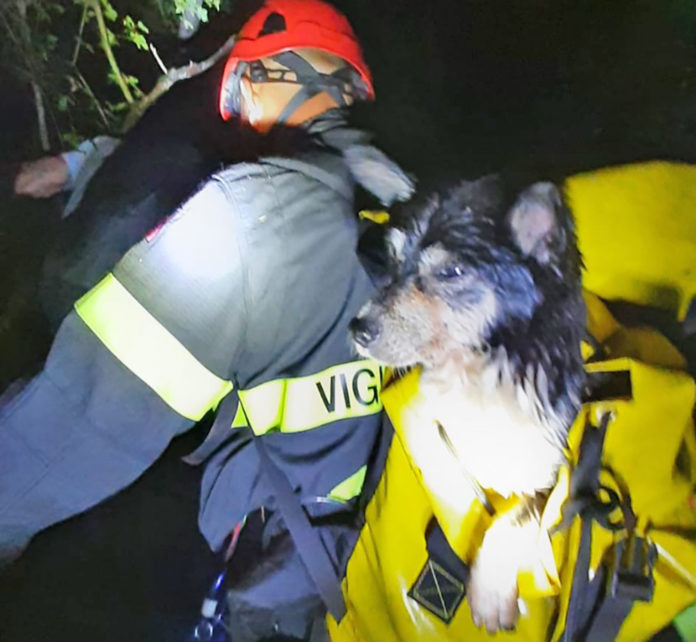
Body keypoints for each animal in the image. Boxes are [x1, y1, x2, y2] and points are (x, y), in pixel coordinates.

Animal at [350, 175, 584, 632]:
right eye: (394, 257)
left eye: (451, 271)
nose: (358, 329)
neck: (476, 368)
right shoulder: (423, 415)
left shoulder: (549, 469)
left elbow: (516, 513)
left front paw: (490, 593)